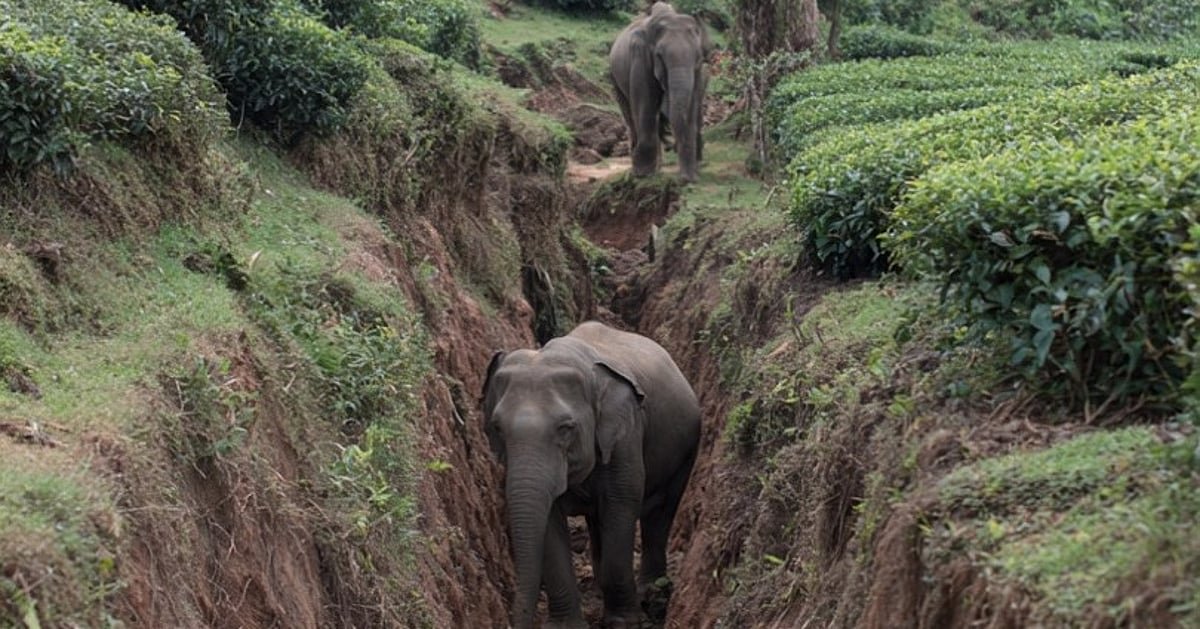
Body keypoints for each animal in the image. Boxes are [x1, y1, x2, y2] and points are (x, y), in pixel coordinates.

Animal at [482, 321, 701, 628]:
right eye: (497, 428)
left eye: (566, 428)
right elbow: (550, 522)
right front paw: (566, 626)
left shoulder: (625, 438)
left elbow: (621, 506)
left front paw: (623, 621)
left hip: (684, 453)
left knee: (659, 514)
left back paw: (652, 595)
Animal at [609, 2, 712, 182]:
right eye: (659, 55)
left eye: (698, 57)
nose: (686, 179)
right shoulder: (640, 56)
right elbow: (645, 103)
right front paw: (643, 174)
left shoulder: (699, 72)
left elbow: (692, 104)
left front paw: (691, 176)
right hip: (613, 76)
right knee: (629, 112)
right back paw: (641, 167)